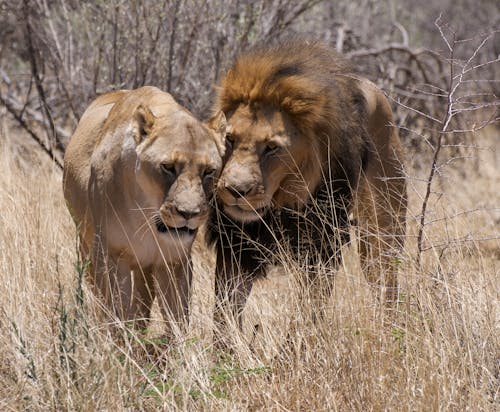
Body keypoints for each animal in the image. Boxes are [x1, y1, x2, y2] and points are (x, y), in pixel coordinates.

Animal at [64, 87, 227, 334]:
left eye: (209, 171)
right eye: (168, 167)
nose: (188, 213)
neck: (146, 218)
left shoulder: (175, 261)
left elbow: (177, 320)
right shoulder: (110, 257)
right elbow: (117, 315)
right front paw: (119, 341)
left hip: (145, 266)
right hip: (85, 245)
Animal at [207, 39, 406, 334]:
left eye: (272, 147)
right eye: (230, 139)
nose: (235, 191)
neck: (280, 203)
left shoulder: (321, 249)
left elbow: (307, 312)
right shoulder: (236, 246)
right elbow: (224, 316)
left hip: (383, 230)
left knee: (386, 283)